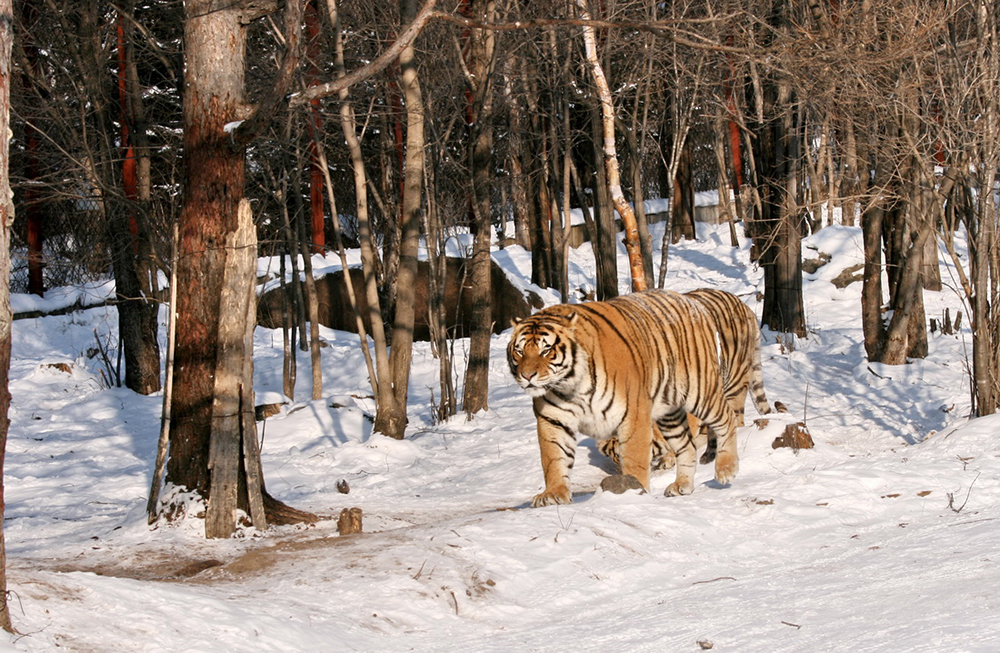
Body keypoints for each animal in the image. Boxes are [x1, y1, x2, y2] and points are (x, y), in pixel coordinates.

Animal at [512, 288, 740, 506]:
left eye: (546, 350)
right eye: (519, 351)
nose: (527, 375)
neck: (571, 386)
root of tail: (689, 300)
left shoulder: (634, 415)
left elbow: (635, 458)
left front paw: (633, 491)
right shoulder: (553, 419)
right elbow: (553, 458)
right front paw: (553, 494)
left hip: (700, 391)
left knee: (727, 417)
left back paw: (726, 469)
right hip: (670, 412)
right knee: (687, 446)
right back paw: (682, 485)